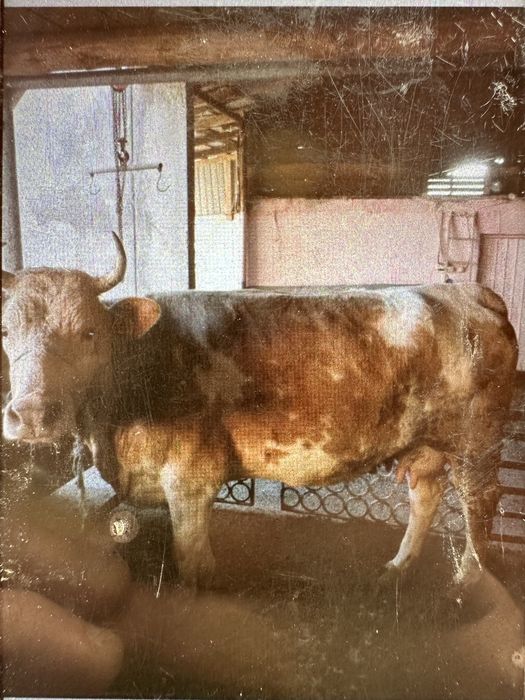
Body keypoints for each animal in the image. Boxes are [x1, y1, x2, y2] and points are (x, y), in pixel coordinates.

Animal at [2, 233, 518, 587]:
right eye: (6, 331)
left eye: (89, 333)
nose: (32, 414)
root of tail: (468, 292)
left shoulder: (190, 478)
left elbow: (193, 564)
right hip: (428, 445)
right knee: (425, 496)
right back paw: (396, 569)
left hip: (477, 442)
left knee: (480, 503)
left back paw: (466, 584)